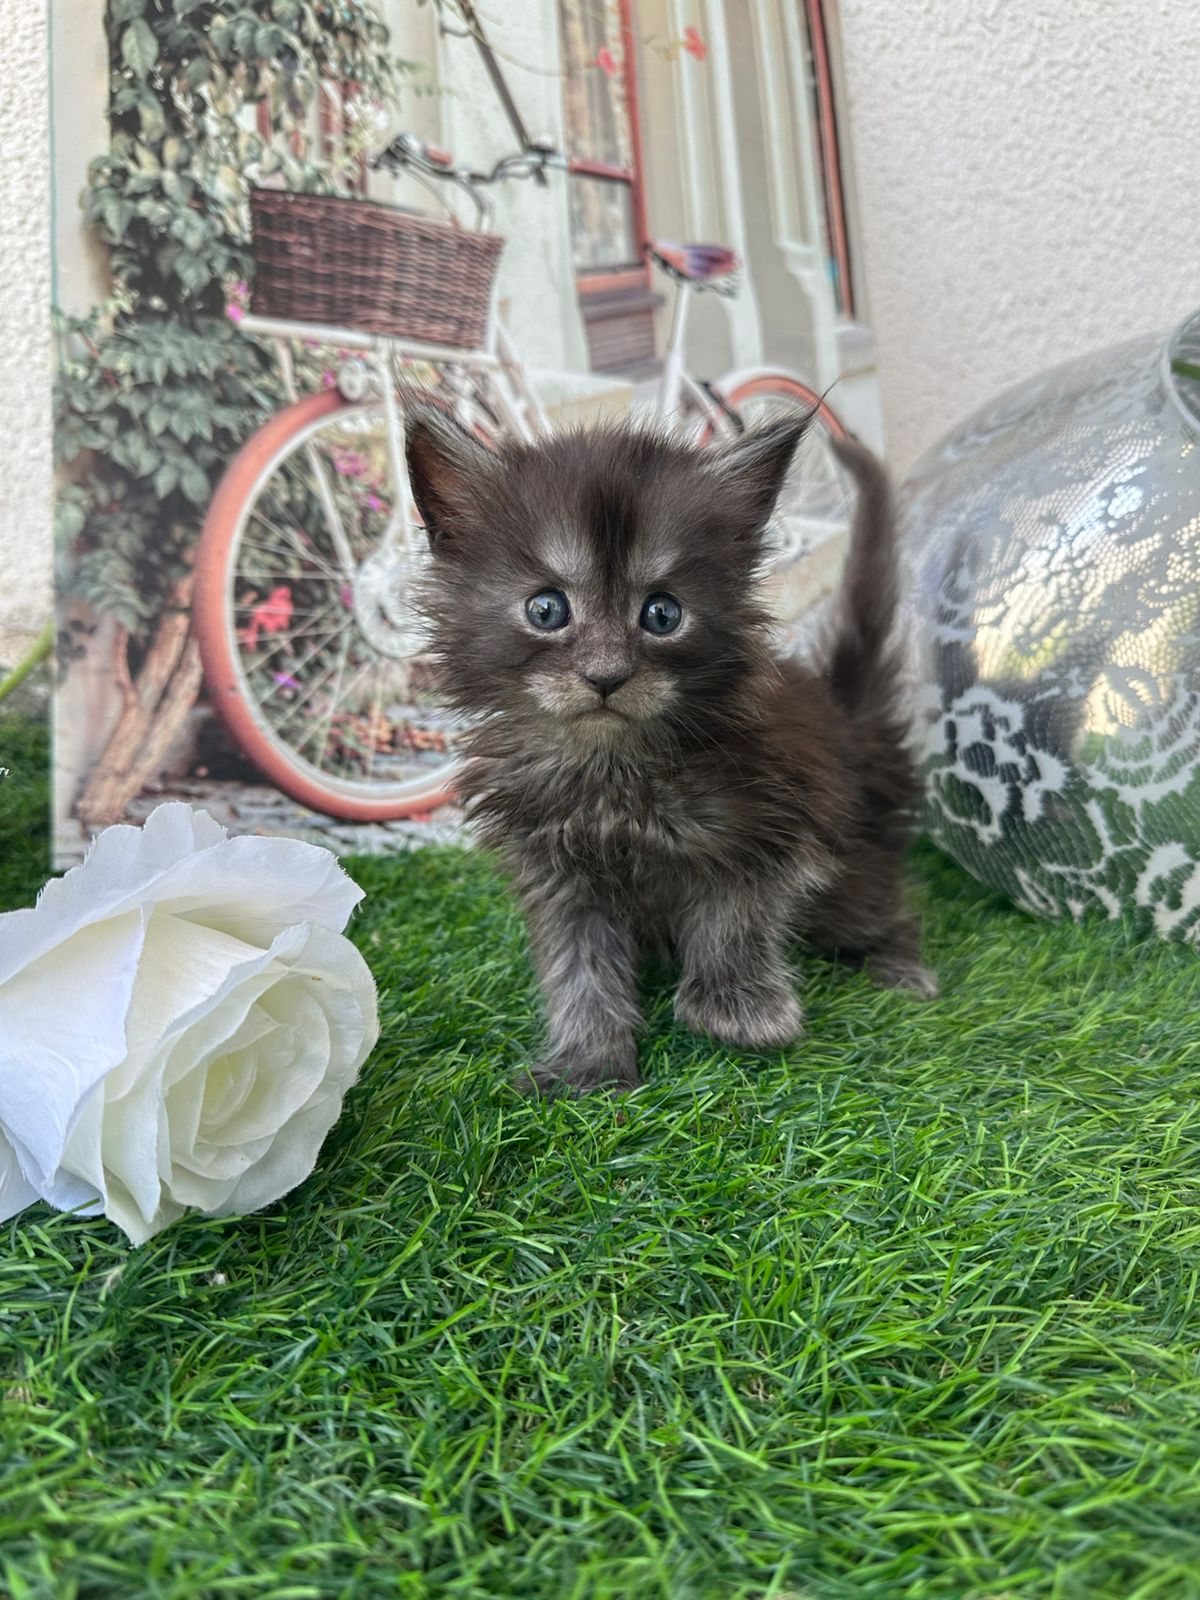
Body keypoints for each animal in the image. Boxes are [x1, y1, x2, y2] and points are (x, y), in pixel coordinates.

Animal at [407, 405, 936, 1094]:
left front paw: (737, 1008)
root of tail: (849, 722)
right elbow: (578, 967)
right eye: (546, 608)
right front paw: (590, 1063)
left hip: (853, 869)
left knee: (884, 903)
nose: (606, 676)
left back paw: (898, 963)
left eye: (662, 614)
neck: (610, 768)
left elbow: (734, 911)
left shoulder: (780, 821)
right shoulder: (554, 870)